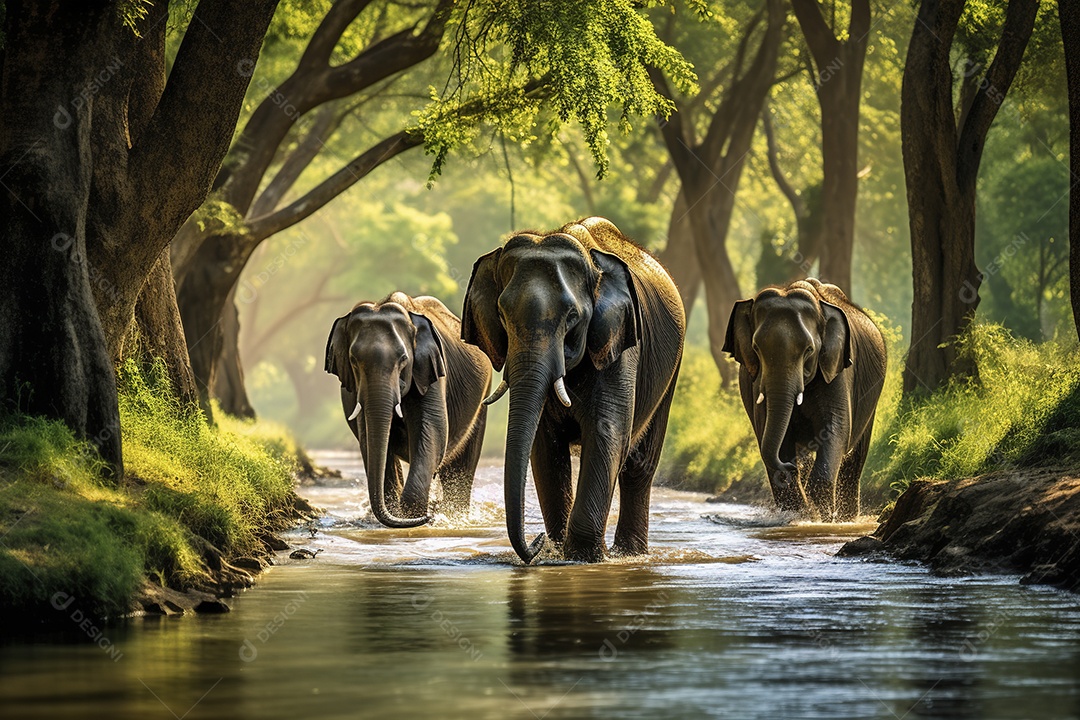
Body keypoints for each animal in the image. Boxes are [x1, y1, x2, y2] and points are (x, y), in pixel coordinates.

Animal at [325, 292, 492, 527]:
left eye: (403, 360)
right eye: (353, 361)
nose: (429, 516)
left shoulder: (430, 370)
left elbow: (434, 431)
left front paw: (413, 515)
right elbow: (369, 439)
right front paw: (403, 514)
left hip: (482, 402)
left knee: (460, 467)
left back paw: (455, 516)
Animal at [462, 217, 685, 564]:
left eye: (572, 317)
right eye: (501, 315)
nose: (535, 541)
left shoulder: (619, 345)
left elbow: (607, 432)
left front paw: (582, 557)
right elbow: (545, 445)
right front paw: (557, 552)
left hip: (671, 367)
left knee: (639, 464)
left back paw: (629, 554)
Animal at [723, 279, 887, 521]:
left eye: (809, 349)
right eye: (755, 348)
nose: (790, 467)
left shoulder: (836, 370)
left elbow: (836, 428)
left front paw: (824, 518)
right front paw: (802, 514)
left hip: (871, 401)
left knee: (854, 460)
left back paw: (847, 519)